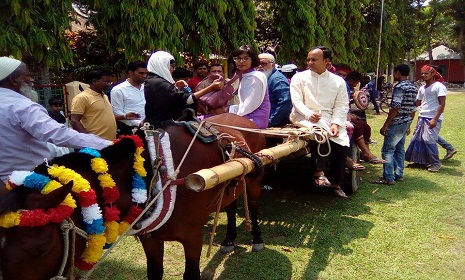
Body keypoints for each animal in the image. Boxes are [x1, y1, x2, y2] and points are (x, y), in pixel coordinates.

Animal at [0, 112, 264, 278]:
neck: (159, 175)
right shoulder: (151, 238)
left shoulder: (192, 237)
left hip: (254, 182)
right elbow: (154, 273)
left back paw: (257, 240)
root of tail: (242, 119)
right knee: (230, 205)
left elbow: (191, 275)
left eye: (41, 248)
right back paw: (228, 239)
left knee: (252, 205)